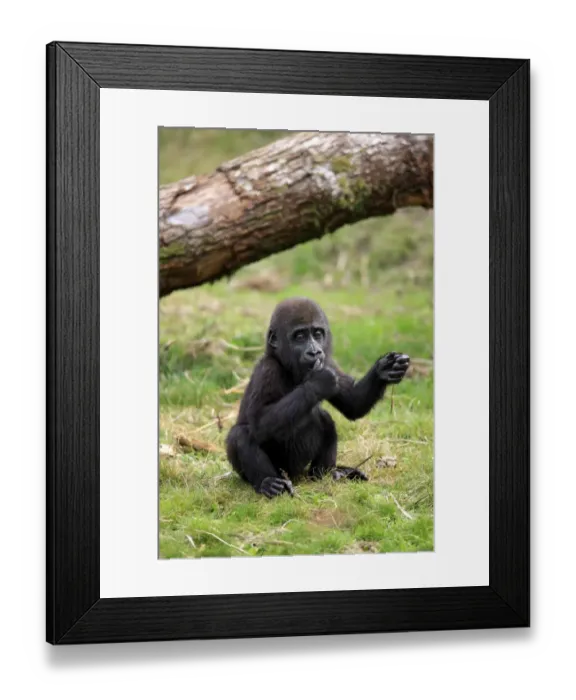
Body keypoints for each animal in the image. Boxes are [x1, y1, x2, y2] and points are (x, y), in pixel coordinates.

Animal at [225, 297, 410, 498]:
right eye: (299, 336)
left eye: (318, 334)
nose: (314, 352)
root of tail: (296, 475)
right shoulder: (267, 370)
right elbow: (259, 422)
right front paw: (318, 382)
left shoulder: (327, 361)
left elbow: (354, 403)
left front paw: (384, 369)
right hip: (276, 472)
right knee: (241, 433)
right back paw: (269, 483)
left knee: (324, 419)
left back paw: (328, 473)